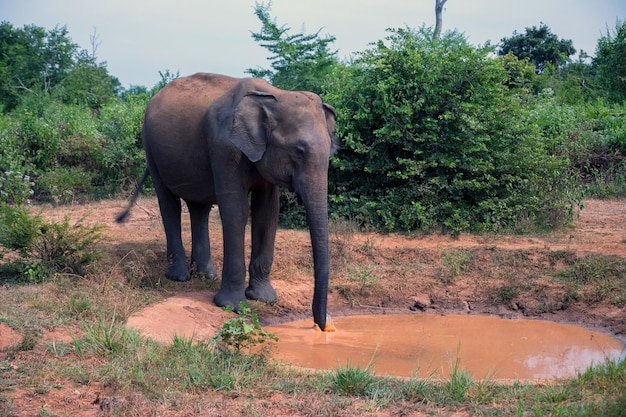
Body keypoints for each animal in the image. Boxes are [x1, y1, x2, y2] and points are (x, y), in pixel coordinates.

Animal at [119, 72, 338, 332]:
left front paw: (264, 298)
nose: (323, 326)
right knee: (169, 204)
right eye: (298, 150)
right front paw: (233, 306)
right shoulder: (224, 148)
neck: (273, 96)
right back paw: (180, 277)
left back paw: (206, 275)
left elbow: (266, 213)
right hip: (150, 147)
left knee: (199, 207)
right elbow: (236, 210)